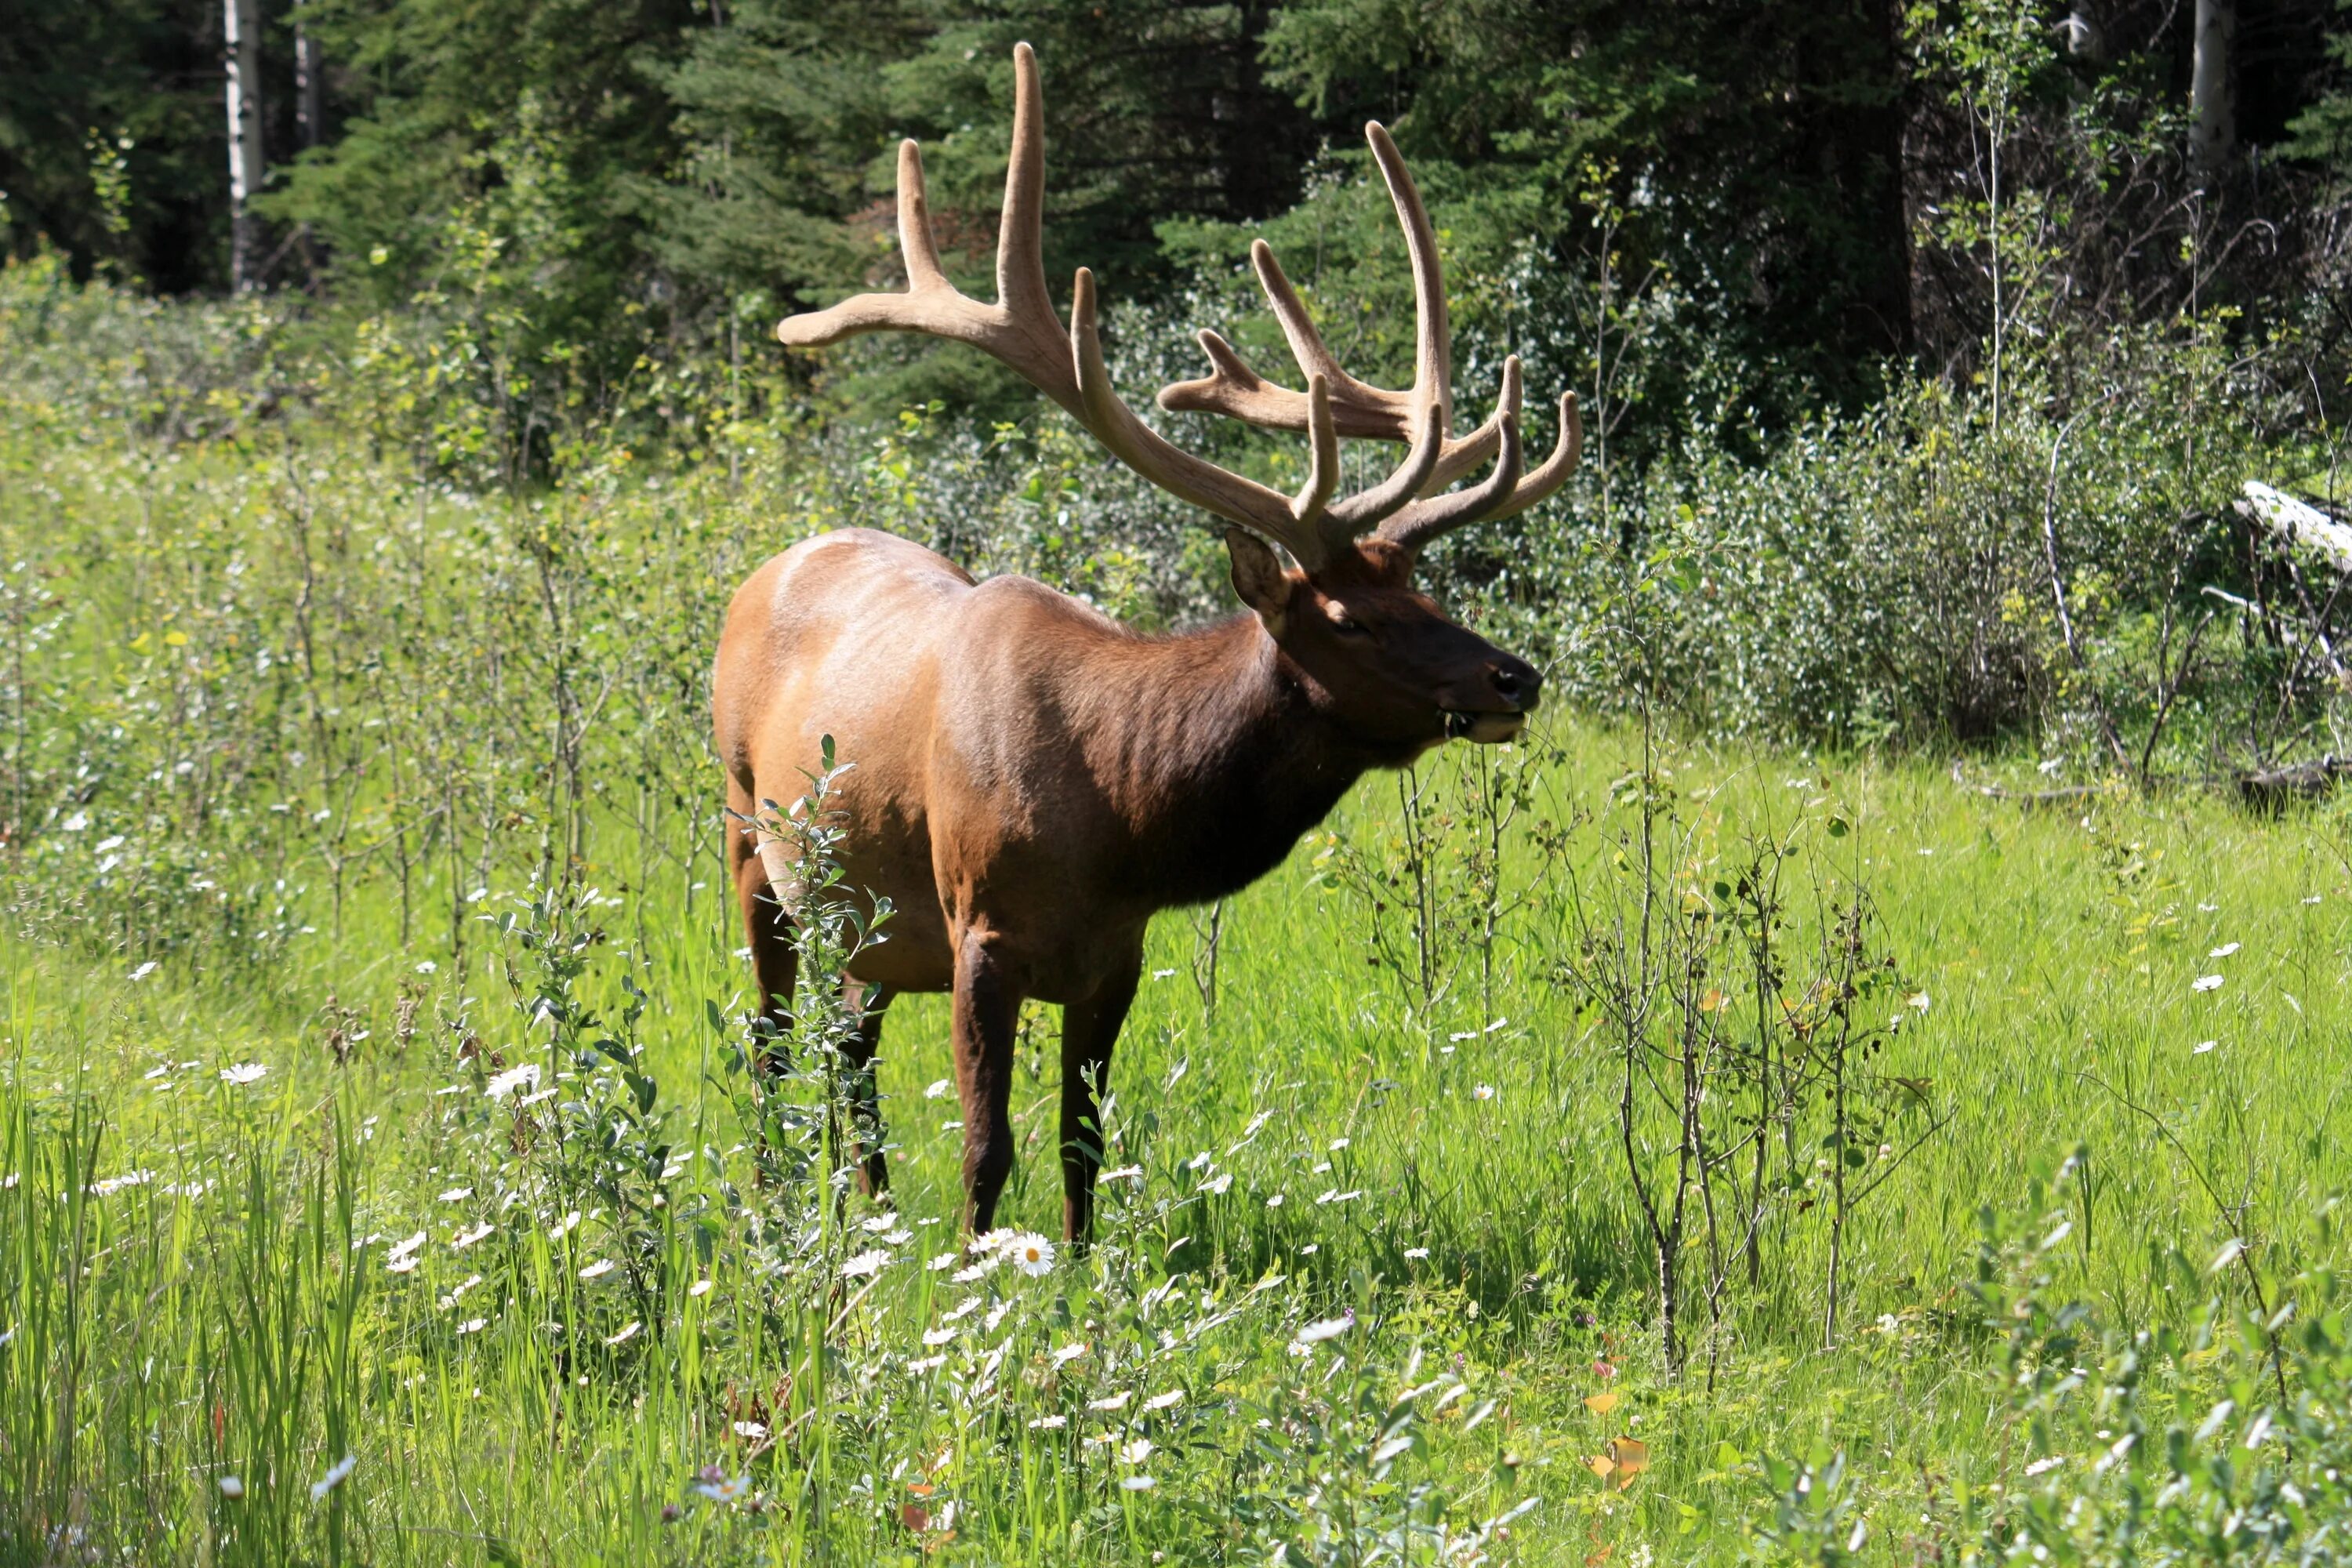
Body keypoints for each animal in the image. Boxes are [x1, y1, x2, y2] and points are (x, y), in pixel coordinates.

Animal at [706, 42, 1571, 1241]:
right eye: (1351, 617)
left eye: (1428, 590)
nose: (1513, 675)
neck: (1119, 816)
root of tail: (767, 569)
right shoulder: (980, 930)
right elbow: (987, 1146)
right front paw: (974, 1271)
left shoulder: (1118, 954)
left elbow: (1084, 1145)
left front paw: (1074, 1269)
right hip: (749, 840)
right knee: (773, 1040)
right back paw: (777, 1200)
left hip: (860, 920)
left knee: (850, 1048)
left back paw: (870, 1214)